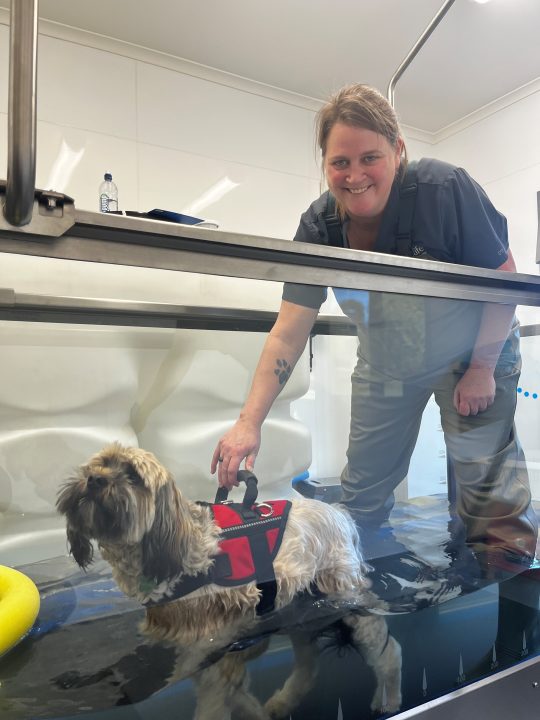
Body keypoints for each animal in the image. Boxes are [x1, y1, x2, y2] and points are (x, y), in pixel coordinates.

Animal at [57, 444, 400, 720]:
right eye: (100, 463)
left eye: (132, 475)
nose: (95, 479)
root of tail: (341, 513)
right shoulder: (199, 656)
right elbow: (240, 697)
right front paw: (258, 713)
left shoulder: (213, 655)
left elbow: (215, 707)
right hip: (300, 617)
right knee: (308, 666)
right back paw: (283, 702)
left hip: (348, 603)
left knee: (389, 652)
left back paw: (389, 699)